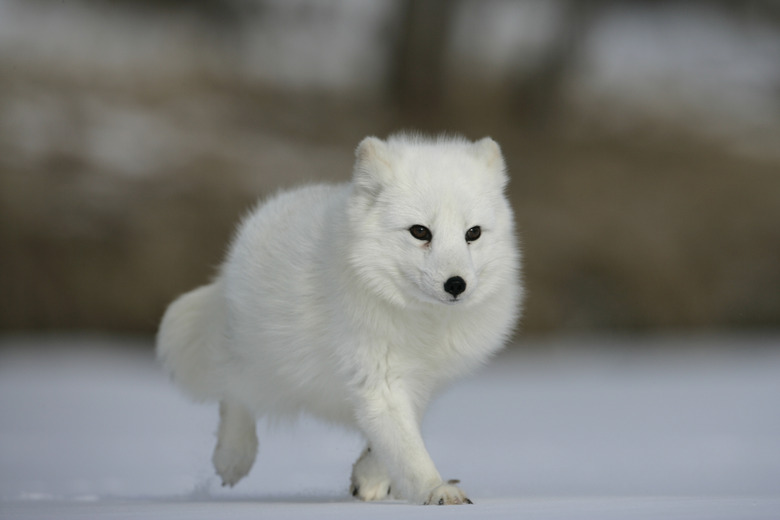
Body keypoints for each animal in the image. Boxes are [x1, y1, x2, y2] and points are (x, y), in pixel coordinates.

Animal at [157, 133, 524, 504]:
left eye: (473, 233)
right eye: (420, 231)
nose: (456, 285)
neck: (422, 322)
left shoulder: (420, 383)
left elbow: (395, 437)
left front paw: (371, 478)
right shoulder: (380, 375)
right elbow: (407, 448)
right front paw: (436, 490)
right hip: (265, 362)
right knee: (234, 391)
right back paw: (233, 457)